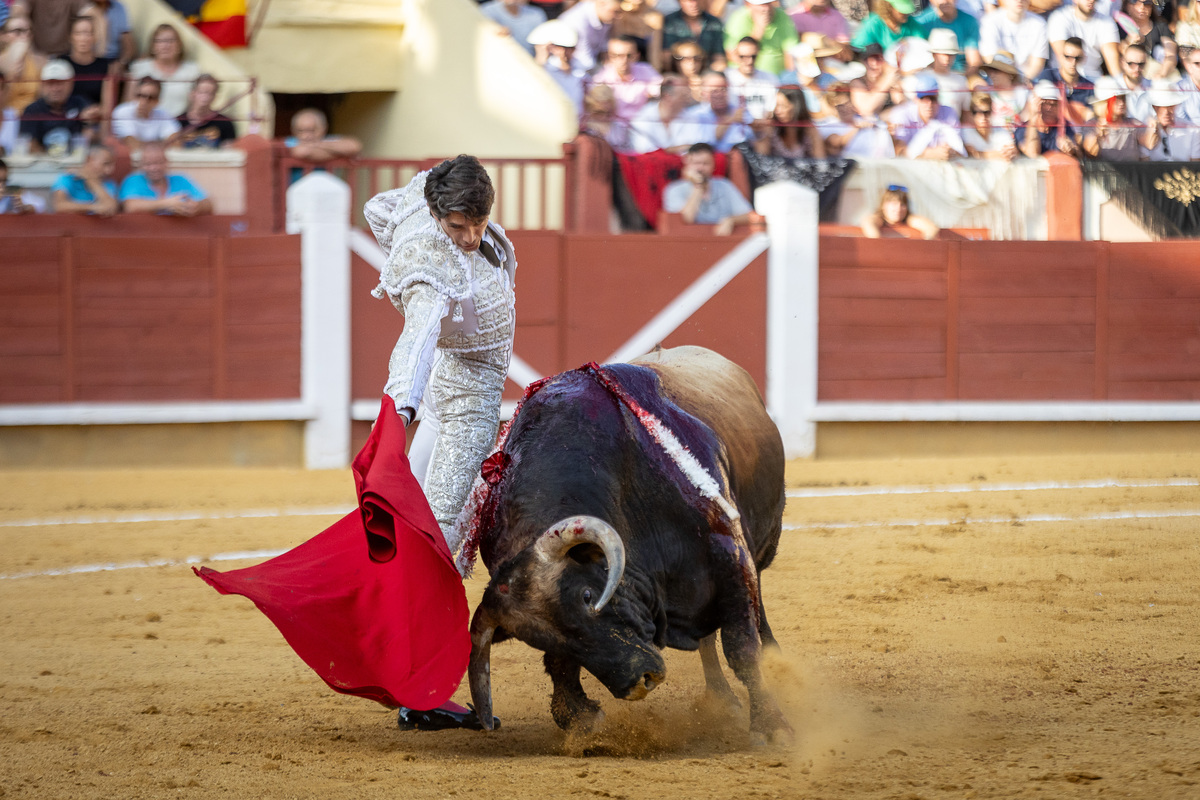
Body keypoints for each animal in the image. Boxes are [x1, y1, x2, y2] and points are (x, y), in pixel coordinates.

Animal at [463, 345, 792, 738]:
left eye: (587, 596)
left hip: (757, 550)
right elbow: (559, 665)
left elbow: (742, 646)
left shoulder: (730, 553)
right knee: (707, 639)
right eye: (536, 639)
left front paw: (773, 726)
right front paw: (580, 719)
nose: (639, 681)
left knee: (752, 624)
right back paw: (721, 700)